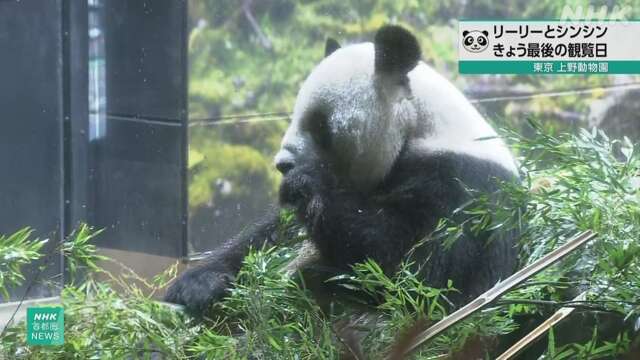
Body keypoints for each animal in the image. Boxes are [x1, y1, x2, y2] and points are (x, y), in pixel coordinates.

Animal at [166, 25, 520, 316]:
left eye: (320, 126)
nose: (283, 165)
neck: (419, 126)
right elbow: (265, 235)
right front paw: (197, 284)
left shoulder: (462, 190)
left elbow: (412, 276)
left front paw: (306, 188)